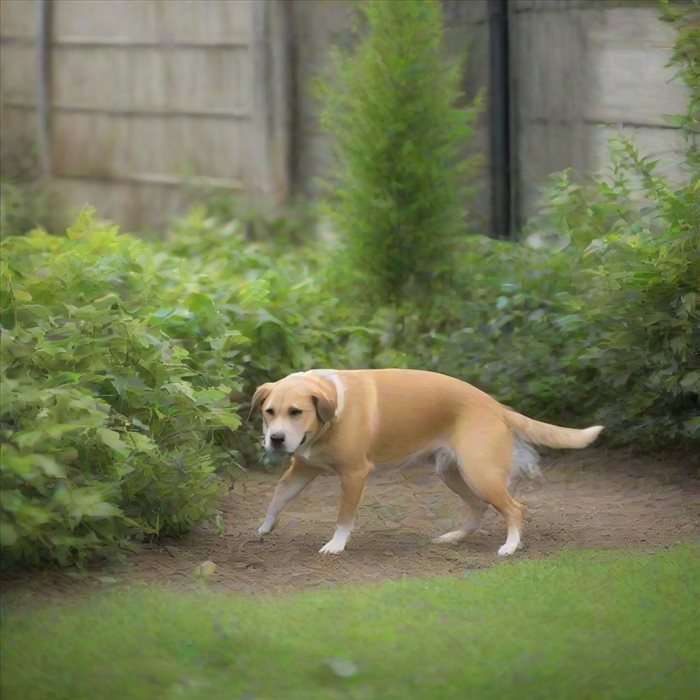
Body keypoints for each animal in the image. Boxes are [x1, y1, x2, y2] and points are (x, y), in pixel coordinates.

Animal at [247, 370, 600, 556]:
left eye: (296, 412)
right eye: (269, 412)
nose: (275, 439)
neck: (334, 409)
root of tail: (495, 405)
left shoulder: (354, 475)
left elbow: (344, 517)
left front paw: (336, 545)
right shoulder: (302, 469)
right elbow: (276, 498)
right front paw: (263, 528)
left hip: (479, 473)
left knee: (515, 509)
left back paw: (510, 547)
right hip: (454, 474)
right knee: (479, 508)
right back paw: (453, 538)